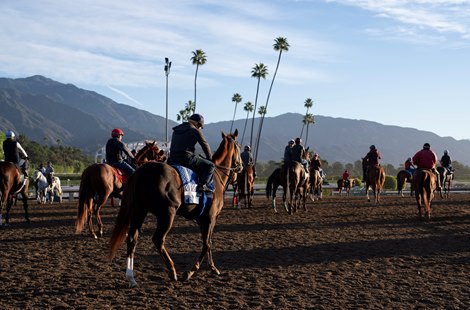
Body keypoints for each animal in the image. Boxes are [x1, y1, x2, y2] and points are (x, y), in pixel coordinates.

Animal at [109, 129, 242, 286]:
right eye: (239, 146)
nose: (240, 166)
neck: (216, 175)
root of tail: (142, 172)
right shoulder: (210, 218)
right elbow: (206, 244)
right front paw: (191, 272)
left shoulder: (205, 220)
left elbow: (208, 242)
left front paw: (212, 267)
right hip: (167, 214)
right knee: (158, 239)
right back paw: (172, 271)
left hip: (139, 211)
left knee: (132, 238)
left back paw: (131, 277)